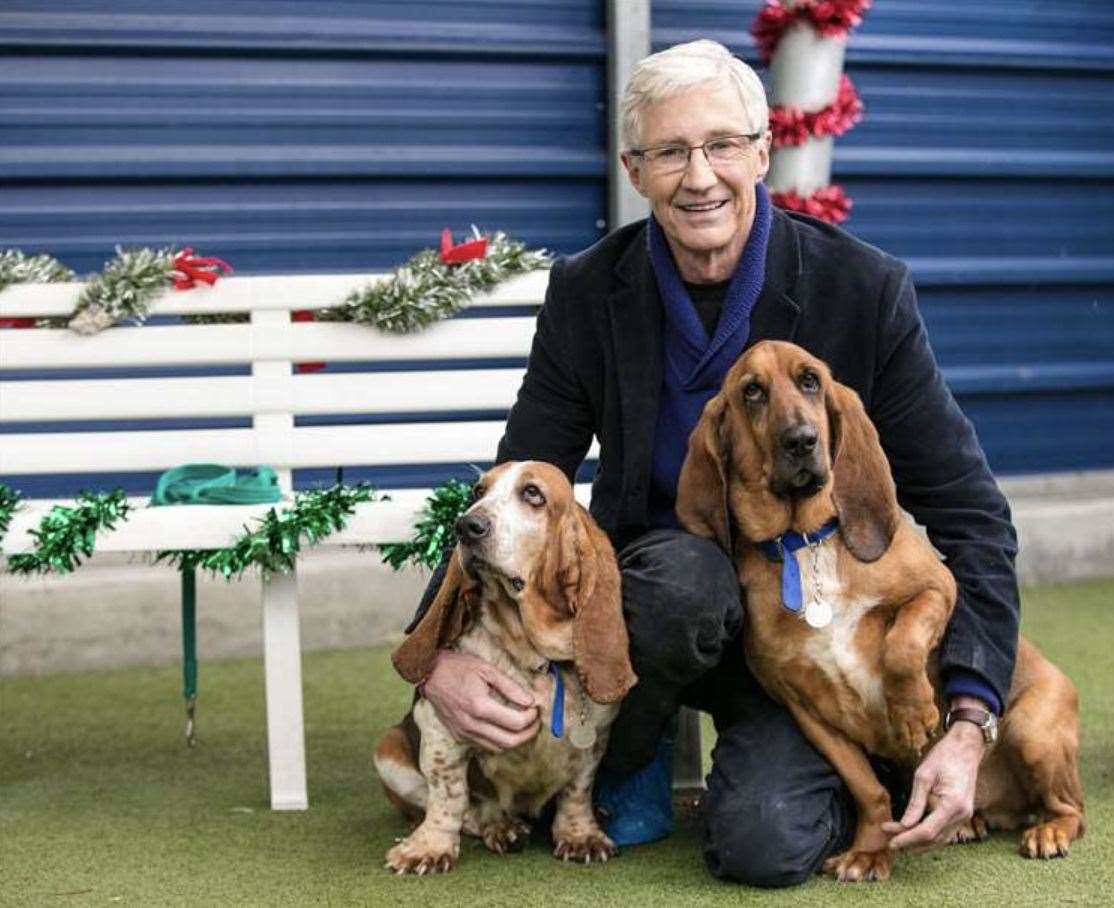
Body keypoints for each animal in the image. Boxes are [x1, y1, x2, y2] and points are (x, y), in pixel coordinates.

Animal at [374, 461, 637, 873]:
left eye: (533, 494)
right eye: (477, 492)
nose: (466, 526)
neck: (537, 659)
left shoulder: (596, 738)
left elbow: (577, 790)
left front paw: (581, 836)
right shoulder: (439, 728)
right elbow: (448, 796)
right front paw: (428, 848)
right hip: (388, 750)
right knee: (468, 809)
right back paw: (501, 827)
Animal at [672, 340, 1082, 882]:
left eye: (810, 381)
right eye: (752, 391)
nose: (801, 440)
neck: (805, 540)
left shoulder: (938, 589)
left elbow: (902, 643)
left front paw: (913, 713)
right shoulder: (805, 708)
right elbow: (868, 790)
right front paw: (869, 851)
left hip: (1032, 732)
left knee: (1071, 809)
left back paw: (1048, 832)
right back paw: (966, 823)